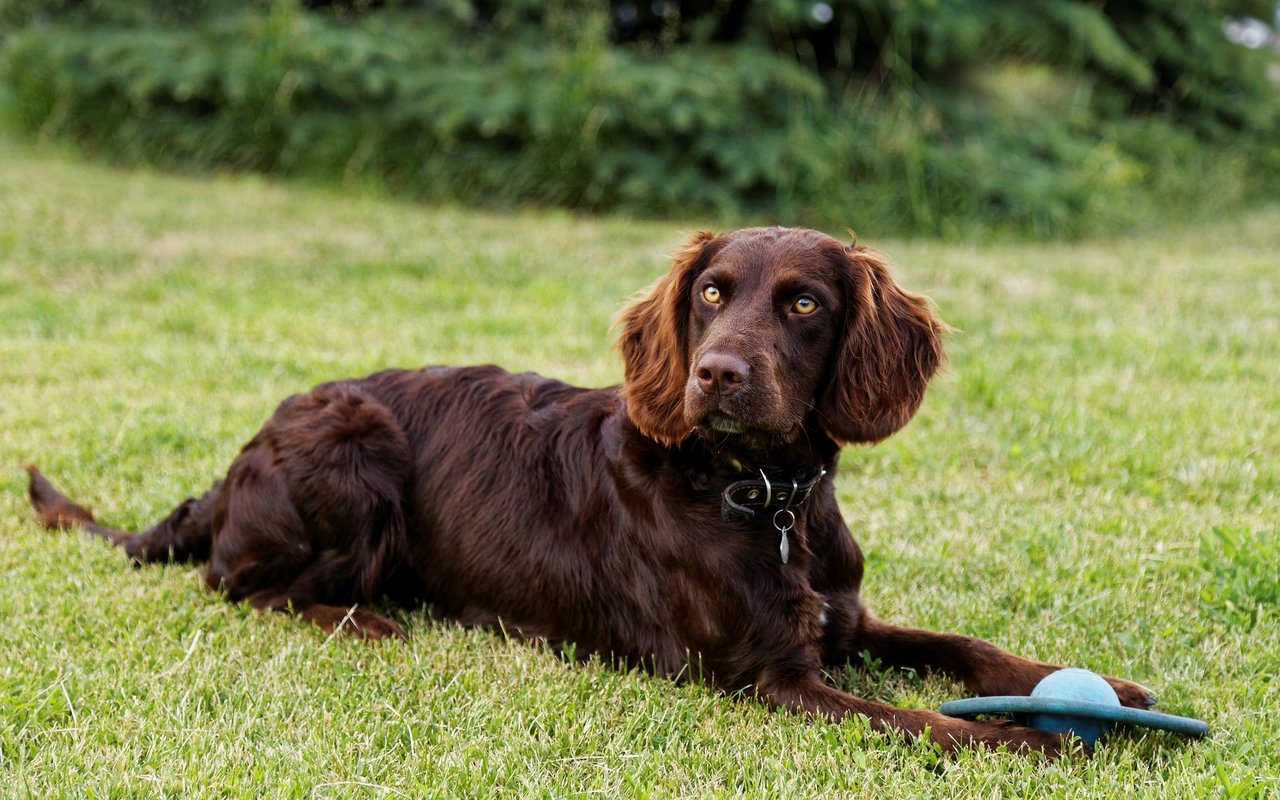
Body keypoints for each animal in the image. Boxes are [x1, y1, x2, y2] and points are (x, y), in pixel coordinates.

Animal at [30, 226, 1157, 752]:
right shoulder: (765, 677)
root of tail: (233, 465)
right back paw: (367, 621)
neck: (764, 496)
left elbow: (960, 648)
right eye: (711, 294)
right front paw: (1036, 743)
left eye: (802, 303)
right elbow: (927, 719)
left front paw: (1102, 689)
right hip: (355, 446)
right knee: (243, 583)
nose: (717, 374)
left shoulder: (841, 621)